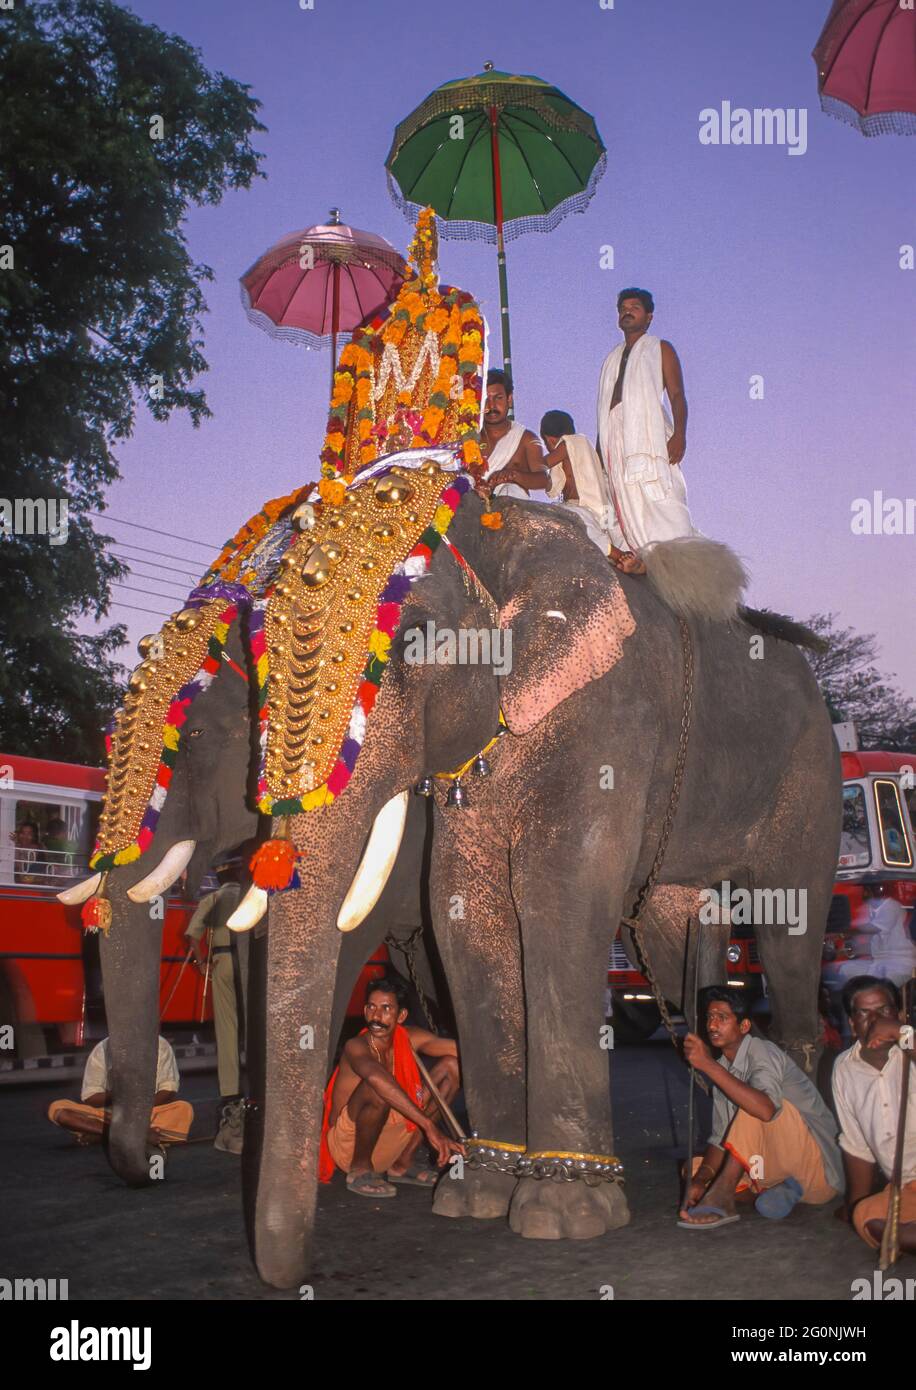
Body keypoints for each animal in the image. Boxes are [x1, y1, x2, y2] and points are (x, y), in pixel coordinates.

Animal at [60, 208, 839, 1289]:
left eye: (411, 641)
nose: (290, 1272)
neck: (506, 525)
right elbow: (464, 912)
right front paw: (476, 1192)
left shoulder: (610, 711)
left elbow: (552, 896)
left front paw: (562, 1214)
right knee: (673, 928)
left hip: (811, 768)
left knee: (791, 928)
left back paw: (808, 1149)